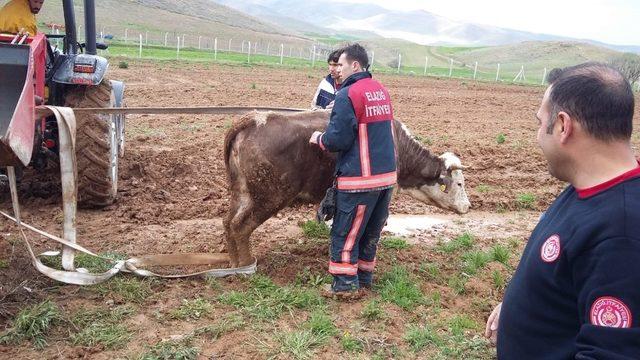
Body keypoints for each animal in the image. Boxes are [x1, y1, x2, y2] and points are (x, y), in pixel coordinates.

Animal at [225, 110, 470, 268]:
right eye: (459, 183)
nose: (468, 206)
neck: (397, 144)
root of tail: (253, 120)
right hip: (269, 198)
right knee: (240, 227)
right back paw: (246, 265)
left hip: (242, 194)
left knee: (228, 224)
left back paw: (234, 262)